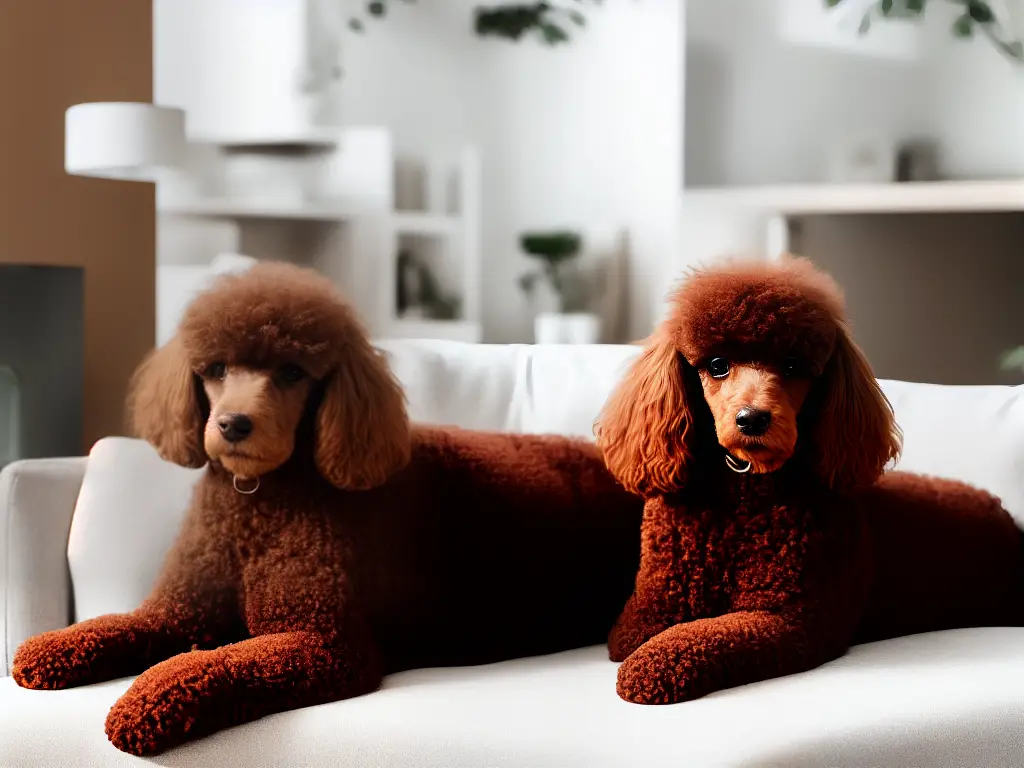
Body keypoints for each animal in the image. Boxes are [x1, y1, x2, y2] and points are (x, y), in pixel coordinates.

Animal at [12, 262, 643, 753]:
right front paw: (47, 649)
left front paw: (144, 699)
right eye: (215, 369)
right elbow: (110, 626)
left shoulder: (324, 642)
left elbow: (210, 662)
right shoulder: (177, 611)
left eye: (293, 373)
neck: (256, 505)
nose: (233, 425)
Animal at [598, 260, 1019, 708]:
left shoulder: (796, 619)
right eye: (717, 365)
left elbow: (697, 637)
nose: (752, 419)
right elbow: (632, 637)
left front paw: (649, 667)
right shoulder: (651, 604)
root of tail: (1000, 508)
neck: (743, 492)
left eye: (793, 366)